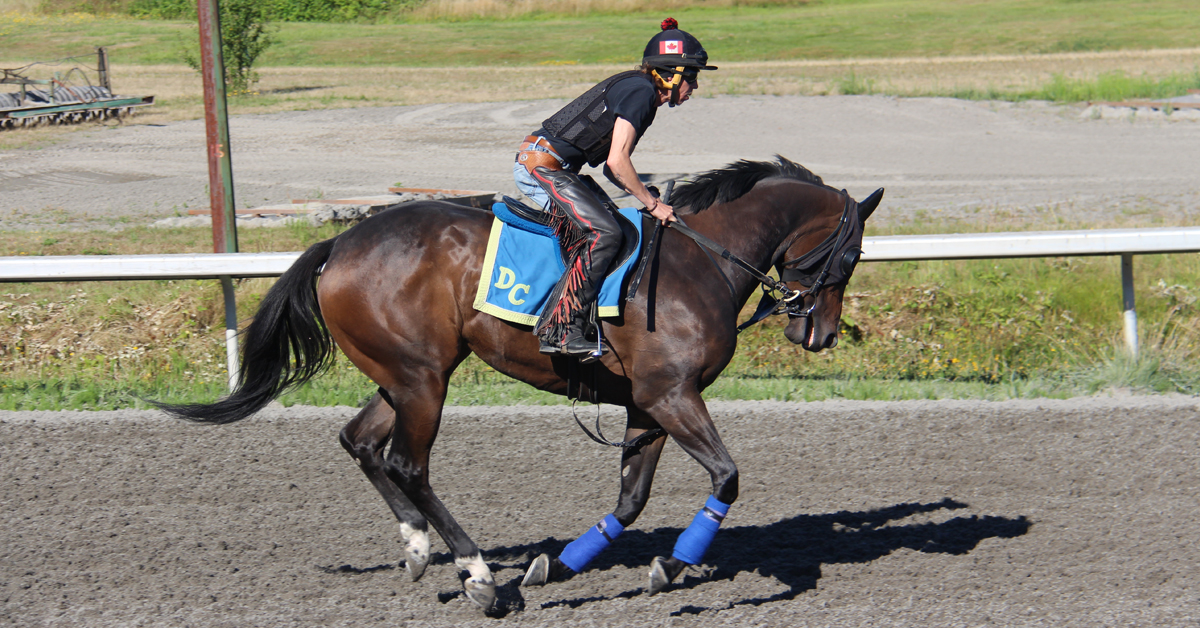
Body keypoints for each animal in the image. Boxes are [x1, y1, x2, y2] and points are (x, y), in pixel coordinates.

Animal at [157, 156, 882, 612]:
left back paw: (418, 547)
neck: (699, 258)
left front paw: (558, 564)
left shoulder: (649, 403)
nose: (820, 334)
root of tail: (337, 246)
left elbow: (630, 500)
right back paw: (476, 574)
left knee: (360, 442)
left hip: (403, 374)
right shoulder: (673, 395)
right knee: (407, 464)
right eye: (852, 255)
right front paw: (672, 564)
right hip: (422, 381)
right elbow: (726, 477)